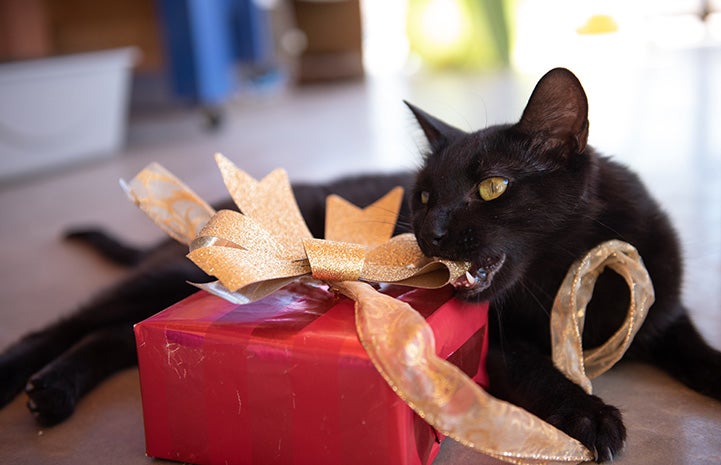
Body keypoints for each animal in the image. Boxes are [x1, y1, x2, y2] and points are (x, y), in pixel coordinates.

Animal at [0, 67, 716, 462]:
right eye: (422, 195)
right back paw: (26, 377)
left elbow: (696, 348)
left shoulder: (666, 309)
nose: (430, 230)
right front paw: (591, 416)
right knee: (78, 323)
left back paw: (54, 390)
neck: (570, 272)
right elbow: (543, 373)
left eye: (492, 187)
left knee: (112, 337)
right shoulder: (504, 348)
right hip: (160, 278)